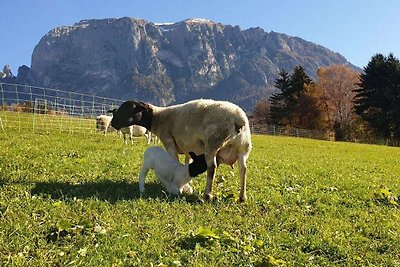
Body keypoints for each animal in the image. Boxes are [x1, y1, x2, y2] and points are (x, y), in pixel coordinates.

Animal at [111, 99, 252, 202]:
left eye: (128, 109)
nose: (112, 123)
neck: (158, 118)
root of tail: (238, 120)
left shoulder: (169, 140)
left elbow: (174, 160)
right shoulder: (187, 148)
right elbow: (186, 162)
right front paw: (188, 184)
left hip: (213, 143)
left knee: (212, 168)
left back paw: (207, 195)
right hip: (244, 148)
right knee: (243, 169)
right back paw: (242, 197)